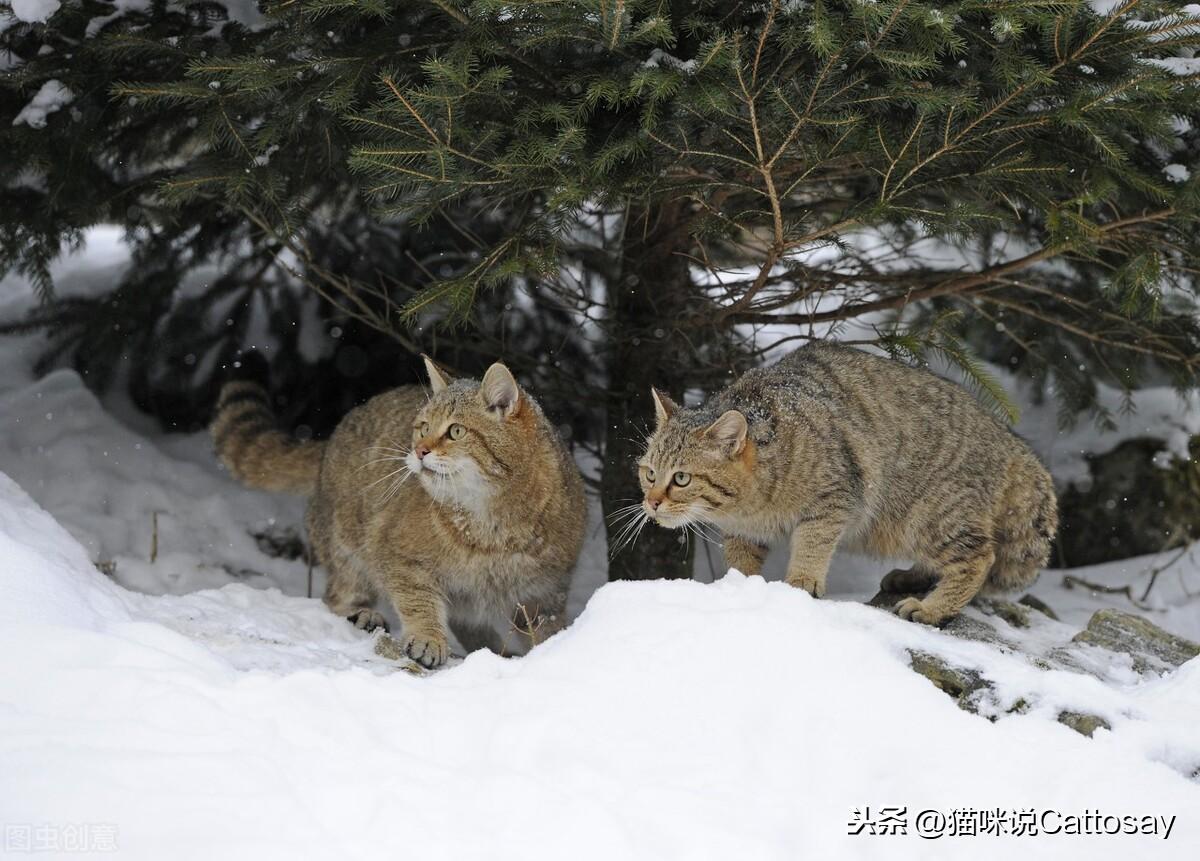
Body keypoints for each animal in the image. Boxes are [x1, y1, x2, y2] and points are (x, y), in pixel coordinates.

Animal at [211, 354, 585, 671]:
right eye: (423, 426)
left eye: (456, 431)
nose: (418, 451)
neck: (490, 524)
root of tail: (331, 438)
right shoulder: (397, 554)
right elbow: (418, 600)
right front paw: (428, 638)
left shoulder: (546, 592)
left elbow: (546, 629)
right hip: (348, 547)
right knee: (335, 596)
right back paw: (362, 614)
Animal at [633, 342, 1056, 628]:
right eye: (649, 473)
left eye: (681, 478)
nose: (651, 502)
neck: (751, 503)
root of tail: (1014, 446)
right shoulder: (743, 531)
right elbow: (742, 562)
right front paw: (742, 588)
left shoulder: (834, 497)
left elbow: (813, 543)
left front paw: (802, 581)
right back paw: (913, 577)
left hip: (932, 513)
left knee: (978, 558)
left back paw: (932, 608)